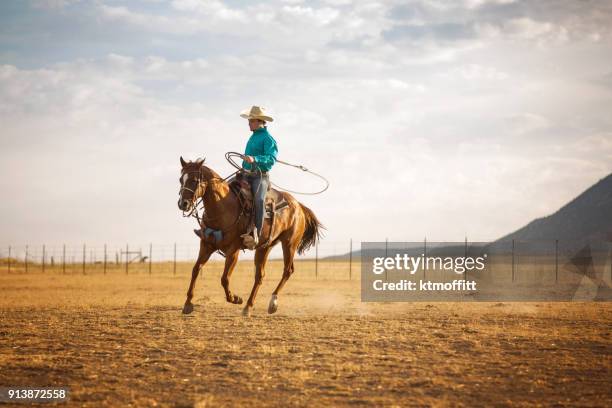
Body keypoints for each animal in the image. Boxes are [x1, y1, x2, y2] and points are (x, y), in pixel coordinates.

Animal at [177, 156, 322, 316]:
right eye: (181, 179)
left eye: (195, 180)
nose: (183, 204)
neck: (223, 207)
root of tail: (298, 206)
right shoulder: (206, 245)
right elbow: (196, 270)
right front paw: (188, 304)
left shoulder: (233, 250)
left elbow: (224, 278)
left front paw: (235, 298)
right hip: (265, 247)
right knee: (260, 276)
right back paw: (248, 306)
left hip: (290, 244)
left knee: (287, 271)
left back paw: (272, 303)